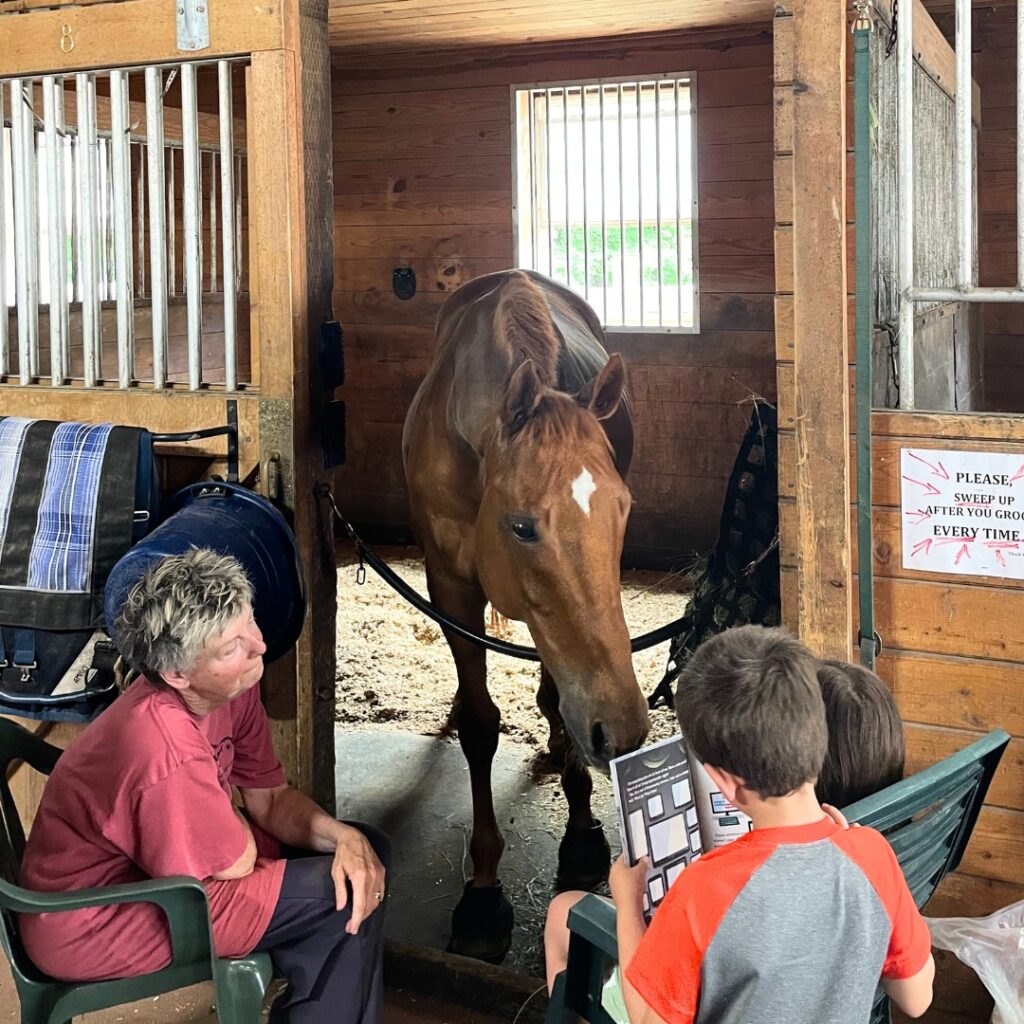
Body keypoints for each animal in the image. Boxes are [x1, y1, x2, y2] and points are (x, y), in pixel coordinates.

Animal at [399, 270, 647, 958]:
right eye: (521, 526)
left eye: (623, 510)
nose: (622, 730)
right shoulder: (450, 584)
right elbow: (482, 725)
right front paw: (483, 895)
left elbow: (560, 692)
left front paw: (583, 832)